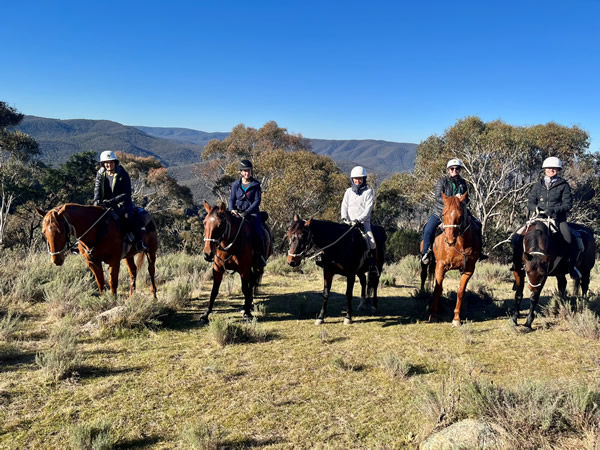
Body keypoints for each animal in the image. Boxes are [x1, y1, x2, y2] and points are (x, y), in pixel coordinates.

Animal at [420, 192, 480, 326]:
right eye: (443, 214)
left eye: (461, 216)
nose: (450, 240)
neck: (460, 245)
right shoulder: (440, 266)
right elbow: (438, 289)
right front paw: (433, 315)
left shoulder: (468, 269)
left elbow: (461, 291)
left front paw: (457, 318)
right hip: (424, 260)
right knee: (423, 275)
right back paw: (421, 294)